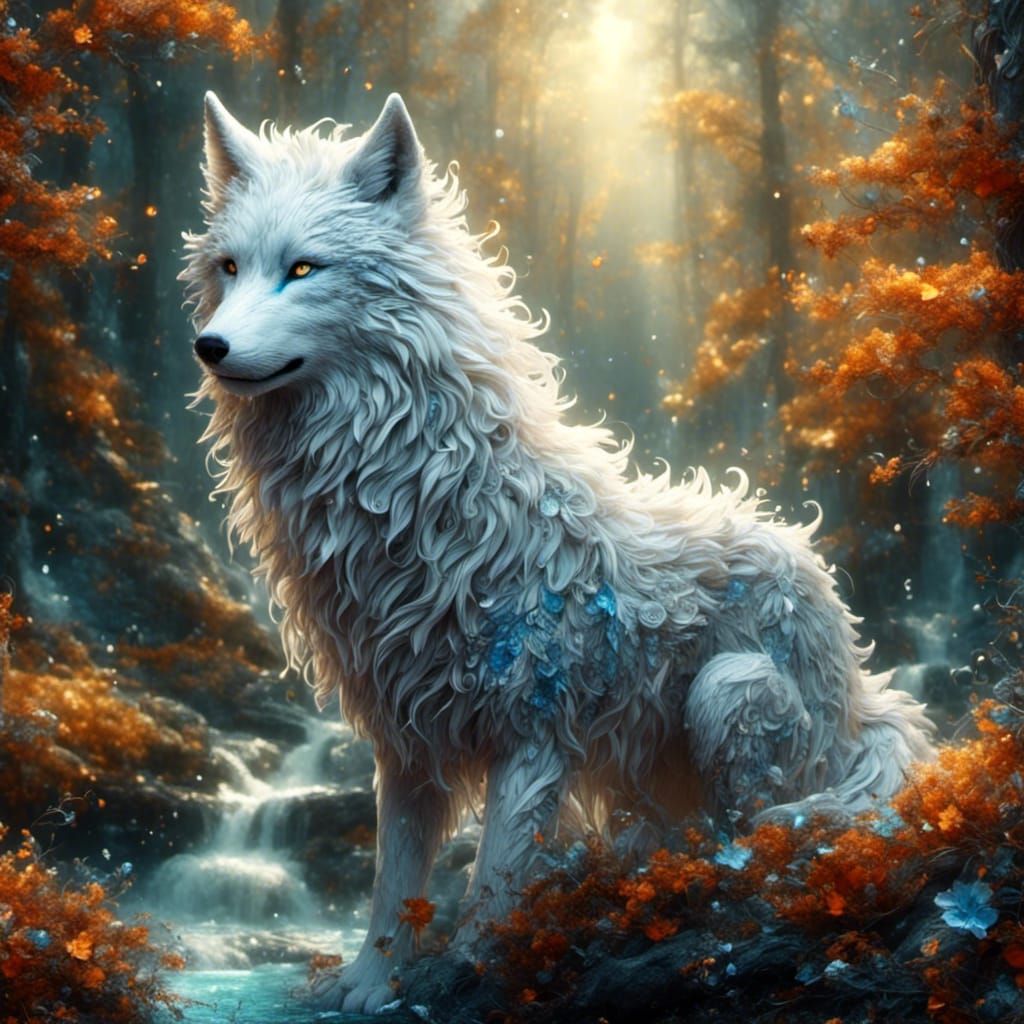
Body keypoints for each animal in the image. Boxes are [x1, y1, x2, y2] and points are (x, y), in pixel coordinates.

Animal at [182, 92, 934, 1012]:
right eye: (228, 267)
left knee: (761, 833)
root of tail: (862, 690)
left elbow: (493, 884)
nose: (209, 348)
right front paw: (371, 984)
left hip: (736, 691)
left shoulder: (536, 736)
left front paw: (471, 980)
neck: (429, 510)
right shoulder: (406, 743)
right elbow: (394, 881)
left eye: (302, 270)